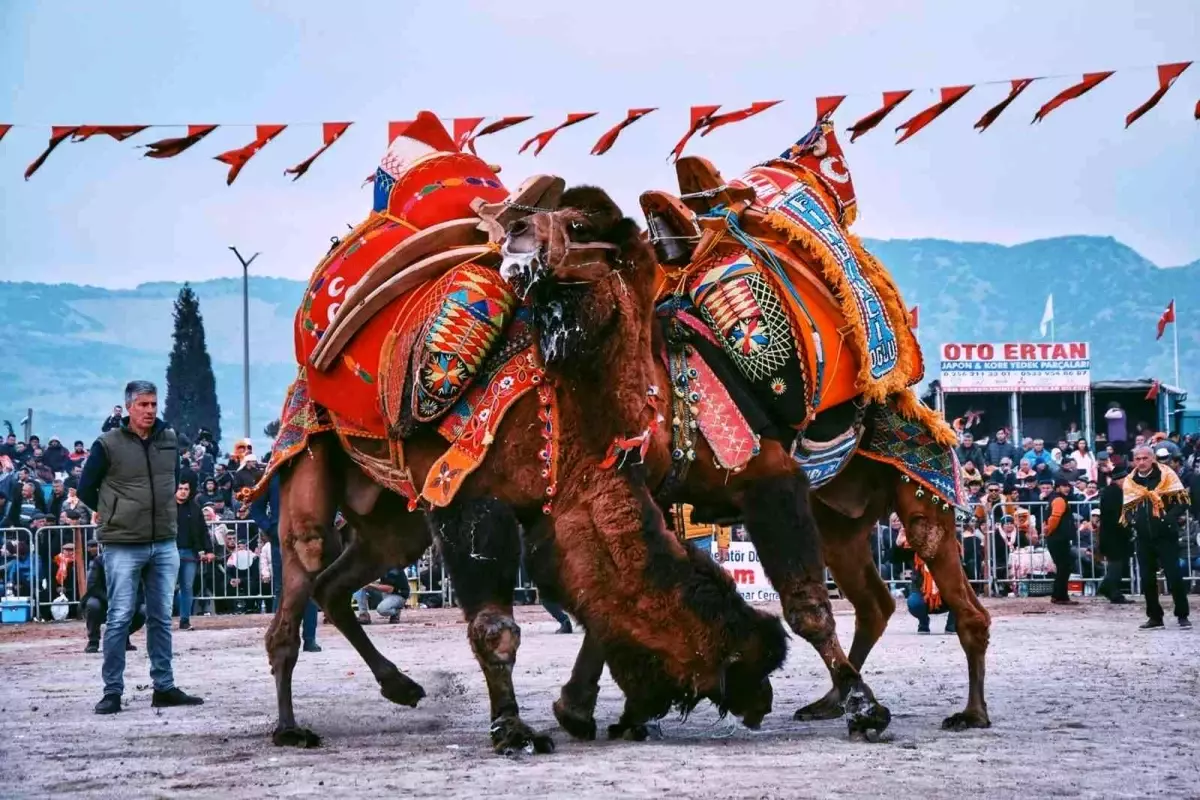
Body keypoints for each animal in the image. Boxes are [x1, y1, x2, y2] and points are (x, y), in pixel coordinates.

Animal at [261, 122, 782, 753]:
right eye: (736, 652)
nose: (762, 701)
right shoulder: (471, 501)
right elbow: (496, 628)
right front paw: (513, 730)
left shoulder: (549, 511)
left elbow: (583, 606)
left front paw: (569, 713)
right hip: (308, 452)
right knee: (301, 578)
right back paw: (290, 726)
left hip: (395, 520)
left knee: (337, 584)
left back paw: (402, 686)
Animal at [511, 115, 988, 734]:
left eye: (576, 223)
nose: (516, 231)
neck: (664, 393)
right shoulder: (661, 496)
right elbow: (623, 595)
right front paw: (586, 708)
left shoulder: (768, 478)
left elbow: (806, 607)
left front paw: (868, 710)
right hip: (838, 520)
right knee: (875, 604)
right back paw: (829, 700)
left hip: (922, 501)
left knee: (961, 602)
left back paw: (969, 711)